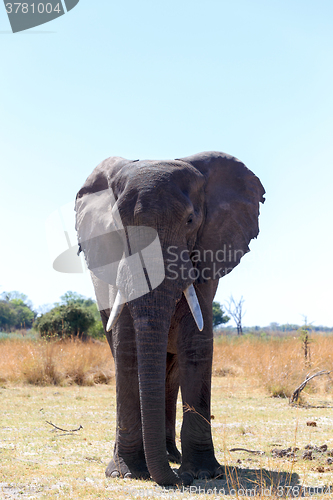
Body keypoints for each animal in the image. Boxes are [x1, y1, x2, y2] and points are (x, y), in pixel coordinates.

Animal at [75, 150, 264, 486]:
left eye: (190, 220)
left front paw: (202, 473)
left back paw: (171, 458)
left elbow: (196, 345)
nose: (178, 481)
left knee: (170, 372)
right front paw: (126, 473)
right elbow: (127, 350)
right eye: (118, 224)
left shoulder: (205, 255)